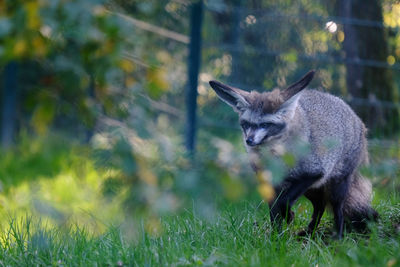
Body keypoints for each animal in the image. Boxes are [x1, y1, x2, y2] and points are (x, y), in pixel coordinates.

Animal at [209, 70, 378, 239]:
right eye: (246, 124)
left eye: (265, 124)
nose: (249, 140)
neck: (277, 157)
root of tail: (356, 117)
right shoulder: (271, 183)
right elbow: (274, 212)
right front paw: (276, 238)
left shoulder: (314, 172)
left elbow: (283, 203)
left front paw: (287, 217)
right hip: (312, 190)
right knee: (320, 206)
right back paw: (309, 233)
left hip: (334, 185)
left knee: (337, 209)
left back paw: (338, 237)